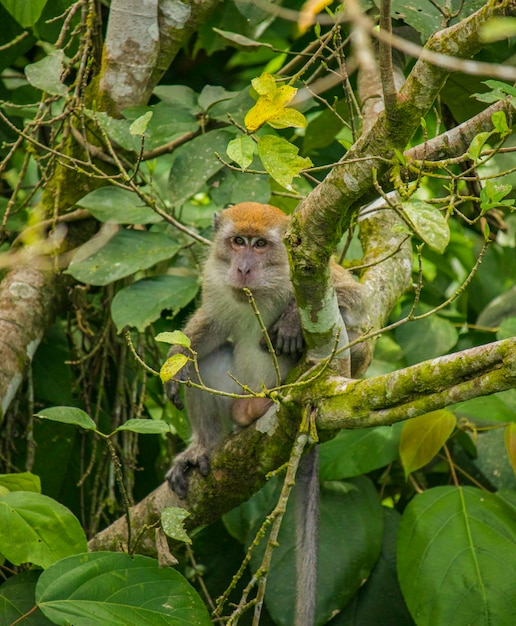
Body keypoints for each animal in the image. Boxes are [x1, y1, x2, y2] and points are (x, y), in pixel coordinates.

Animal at [165, 202, 370, 620]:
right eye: (238, 241)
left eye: (260, 245)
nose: (243, 268)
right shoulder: (215, 279)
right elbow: (208, 328)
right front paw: (176, 360)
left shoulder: (320, 276)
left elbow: (358, 303)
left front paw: (290, 318)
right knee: (205, 362)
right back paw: (206, 445)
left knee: (343, 332)